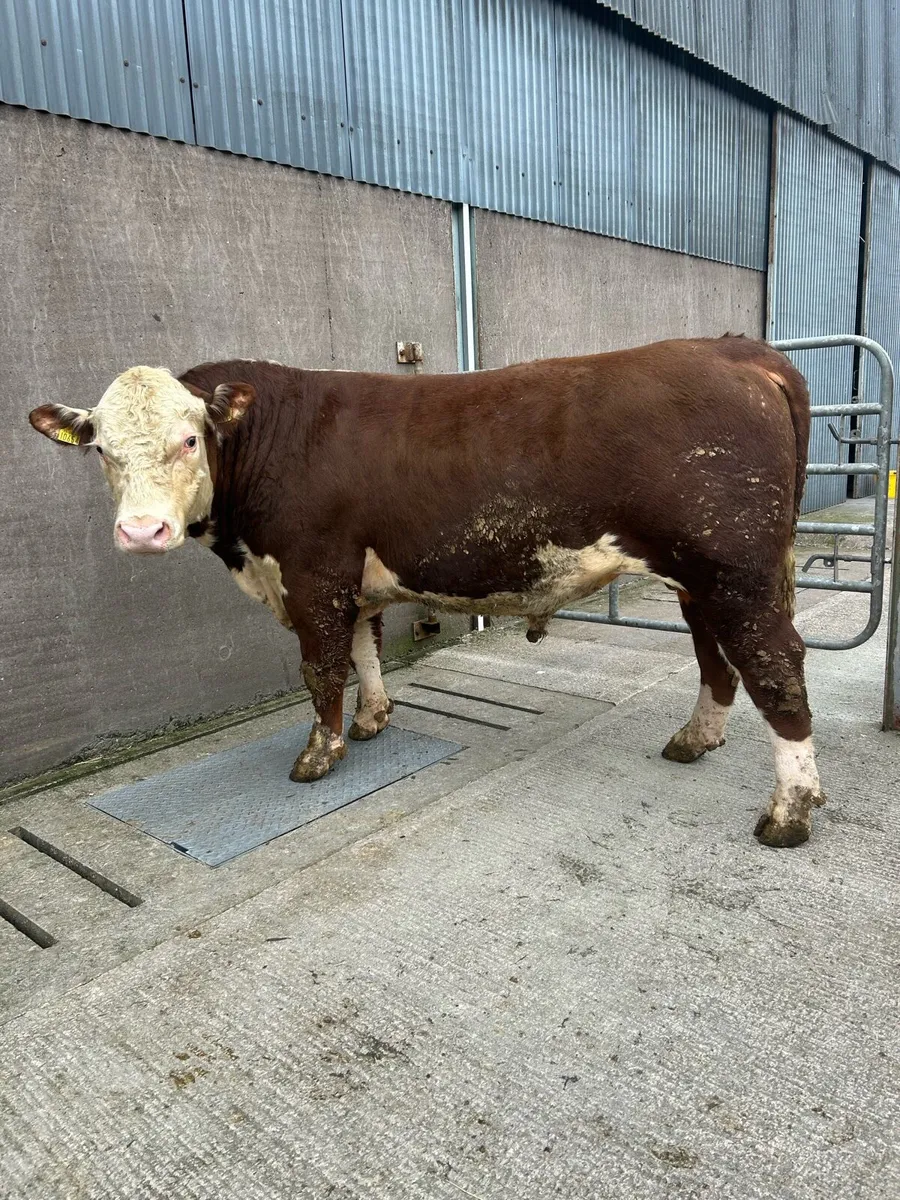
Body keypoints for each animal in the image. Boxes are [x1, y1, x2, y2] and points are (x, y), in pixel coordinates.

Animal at [29, 336, 823, 847]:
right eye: (102, 450)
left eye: (190, 439)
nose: (142, 531)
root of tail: (734, 349)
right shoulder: (351, 579)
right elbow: (364, 649)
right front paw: (373, 721)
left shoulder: (314, 573)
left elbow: (321, 667)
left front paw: (319, 755)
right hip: (702, 578)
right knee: (716, 659)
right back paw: (695, 739)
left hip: (735, 571)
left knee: (775, 668)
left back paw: (789, 813)